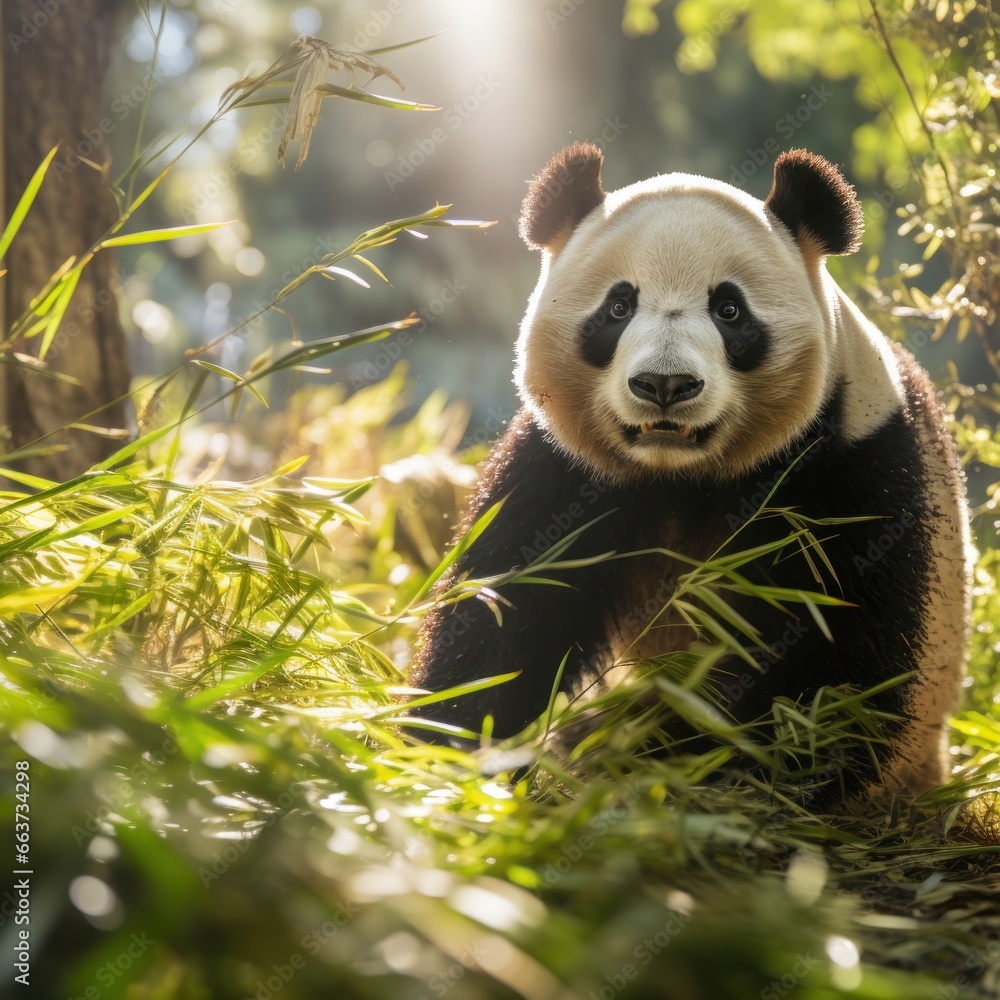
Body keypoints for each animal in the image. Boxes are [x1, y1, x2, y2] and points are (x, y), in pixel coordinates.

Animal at [408, 143, 968, 796]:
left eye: (729, 309)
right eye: (618, 306)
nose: (665, 384)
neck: (680, 476)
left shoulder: (849, 466)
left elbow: (833, 649)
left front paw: (728, 769)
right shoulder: (565, 472)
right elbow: (508, 613)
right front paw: (447, 752)